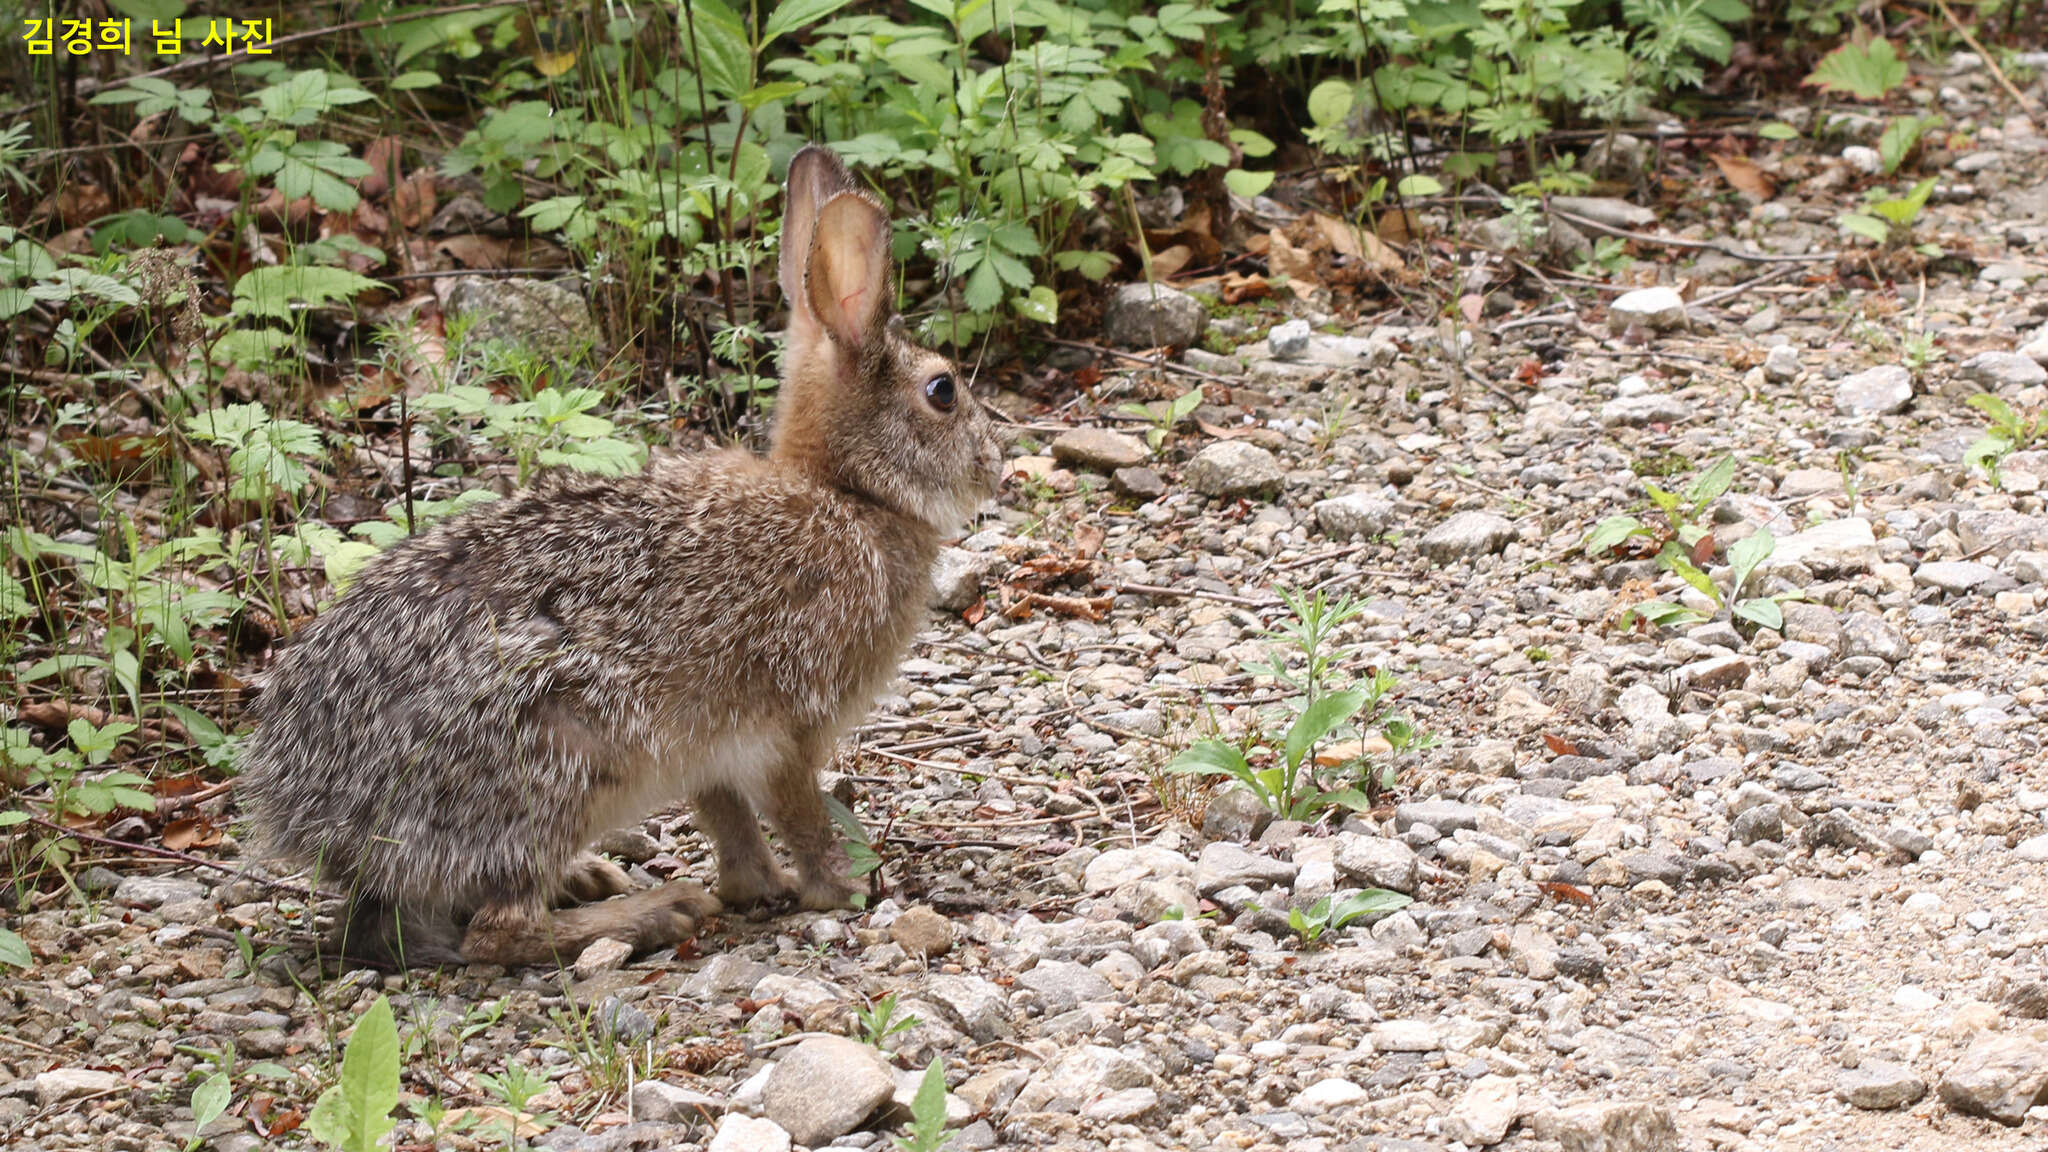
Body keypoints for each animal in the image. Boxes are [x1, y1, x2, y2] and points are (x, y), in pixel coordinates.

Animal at [237, 145, 999, 967]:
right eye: (943, 391)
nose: (995, 464)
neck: (850, 494)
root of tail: (310, 815)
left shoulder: (708, 750)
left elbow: (726, 817)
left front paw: (755, 887)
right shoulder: (788, 724)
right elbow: (797, 812)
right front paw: (841, 889)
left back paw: (598, 882)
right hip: (558, 765)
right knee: (496, 933)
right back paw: (652, 911)